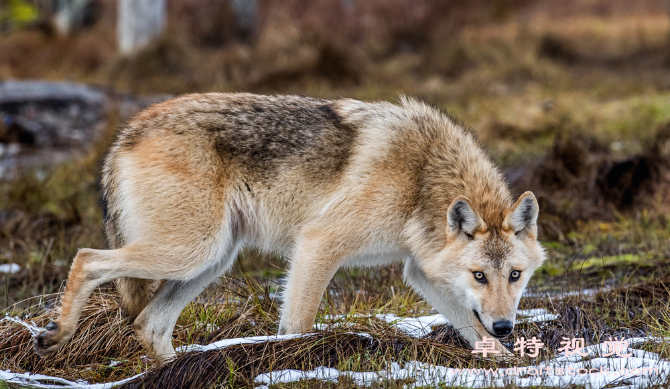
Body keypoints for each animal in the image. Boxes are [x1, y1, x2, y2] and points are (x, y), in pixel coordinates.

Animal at [34, 93, 544, 360]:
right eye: (479, 275)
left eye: (514, 276)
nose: (505, 326)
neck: (422, 178)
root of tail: (124, 133)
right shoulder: (318, 245)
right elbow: (297, 325)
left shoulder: (420, 272)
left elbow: (474, 333)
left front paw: (506, 363)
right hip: (190, 252)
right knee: (87, 258)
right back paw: (55, 334)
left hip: (210, 263)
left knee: (149, 324)